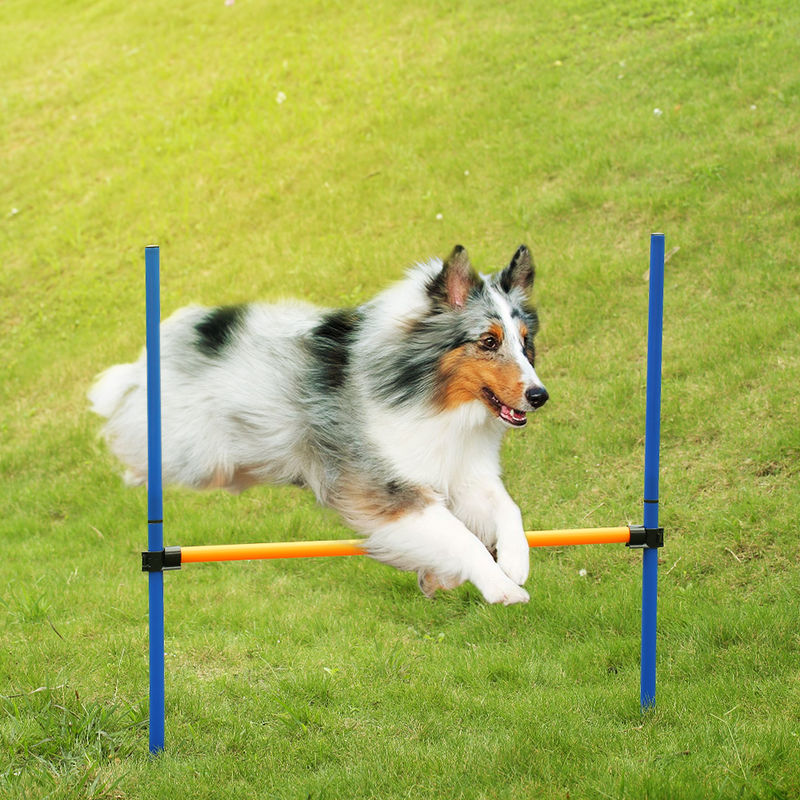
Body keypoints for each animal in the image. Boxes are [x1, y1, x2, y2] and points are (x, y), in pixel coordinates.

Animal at [89, 247, 552, 604]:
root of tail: (162, 344)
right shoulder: (388, 491)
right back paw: (132, 465)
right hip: (194, 454)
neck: (431, 396)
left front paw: (513, 561)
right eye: (488, 341)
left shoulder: (465, 472)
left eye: (525, 341)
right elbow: (461, 537)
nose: (539, 395)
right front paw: (502, 588)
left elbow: (507, 509)